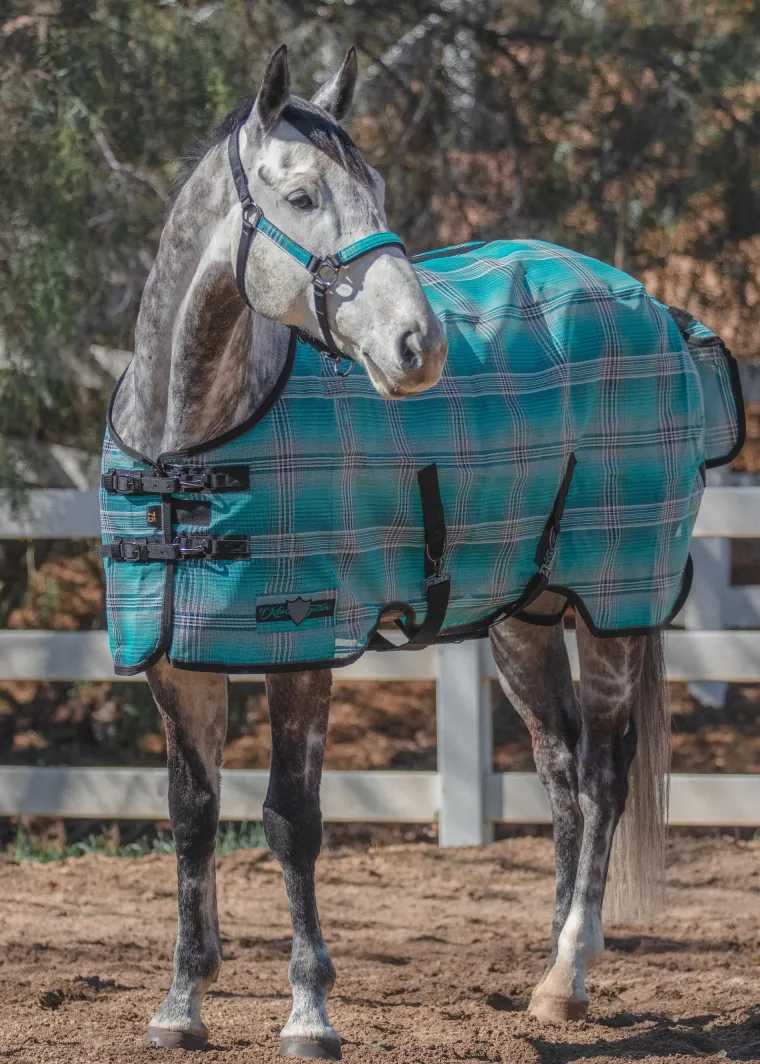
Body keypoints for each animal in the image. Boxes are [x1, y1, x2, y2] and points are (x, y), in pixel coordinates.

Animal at [108, 44, 677, 1059]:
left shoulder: (299, 650)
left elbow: (290, 822)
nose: (421, 346)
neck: (191, 448)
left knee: (604, 779)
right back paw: (548, 974)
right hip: (522, 623)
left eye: (376, 188)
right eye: (300, 197)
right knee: (563, 777)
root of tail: (648, 305)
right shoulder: (175, 663)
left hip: (615, 609)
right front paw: (180, 1002)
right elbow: (192, 817)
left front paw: (309, 1011)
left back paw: (570, 973)